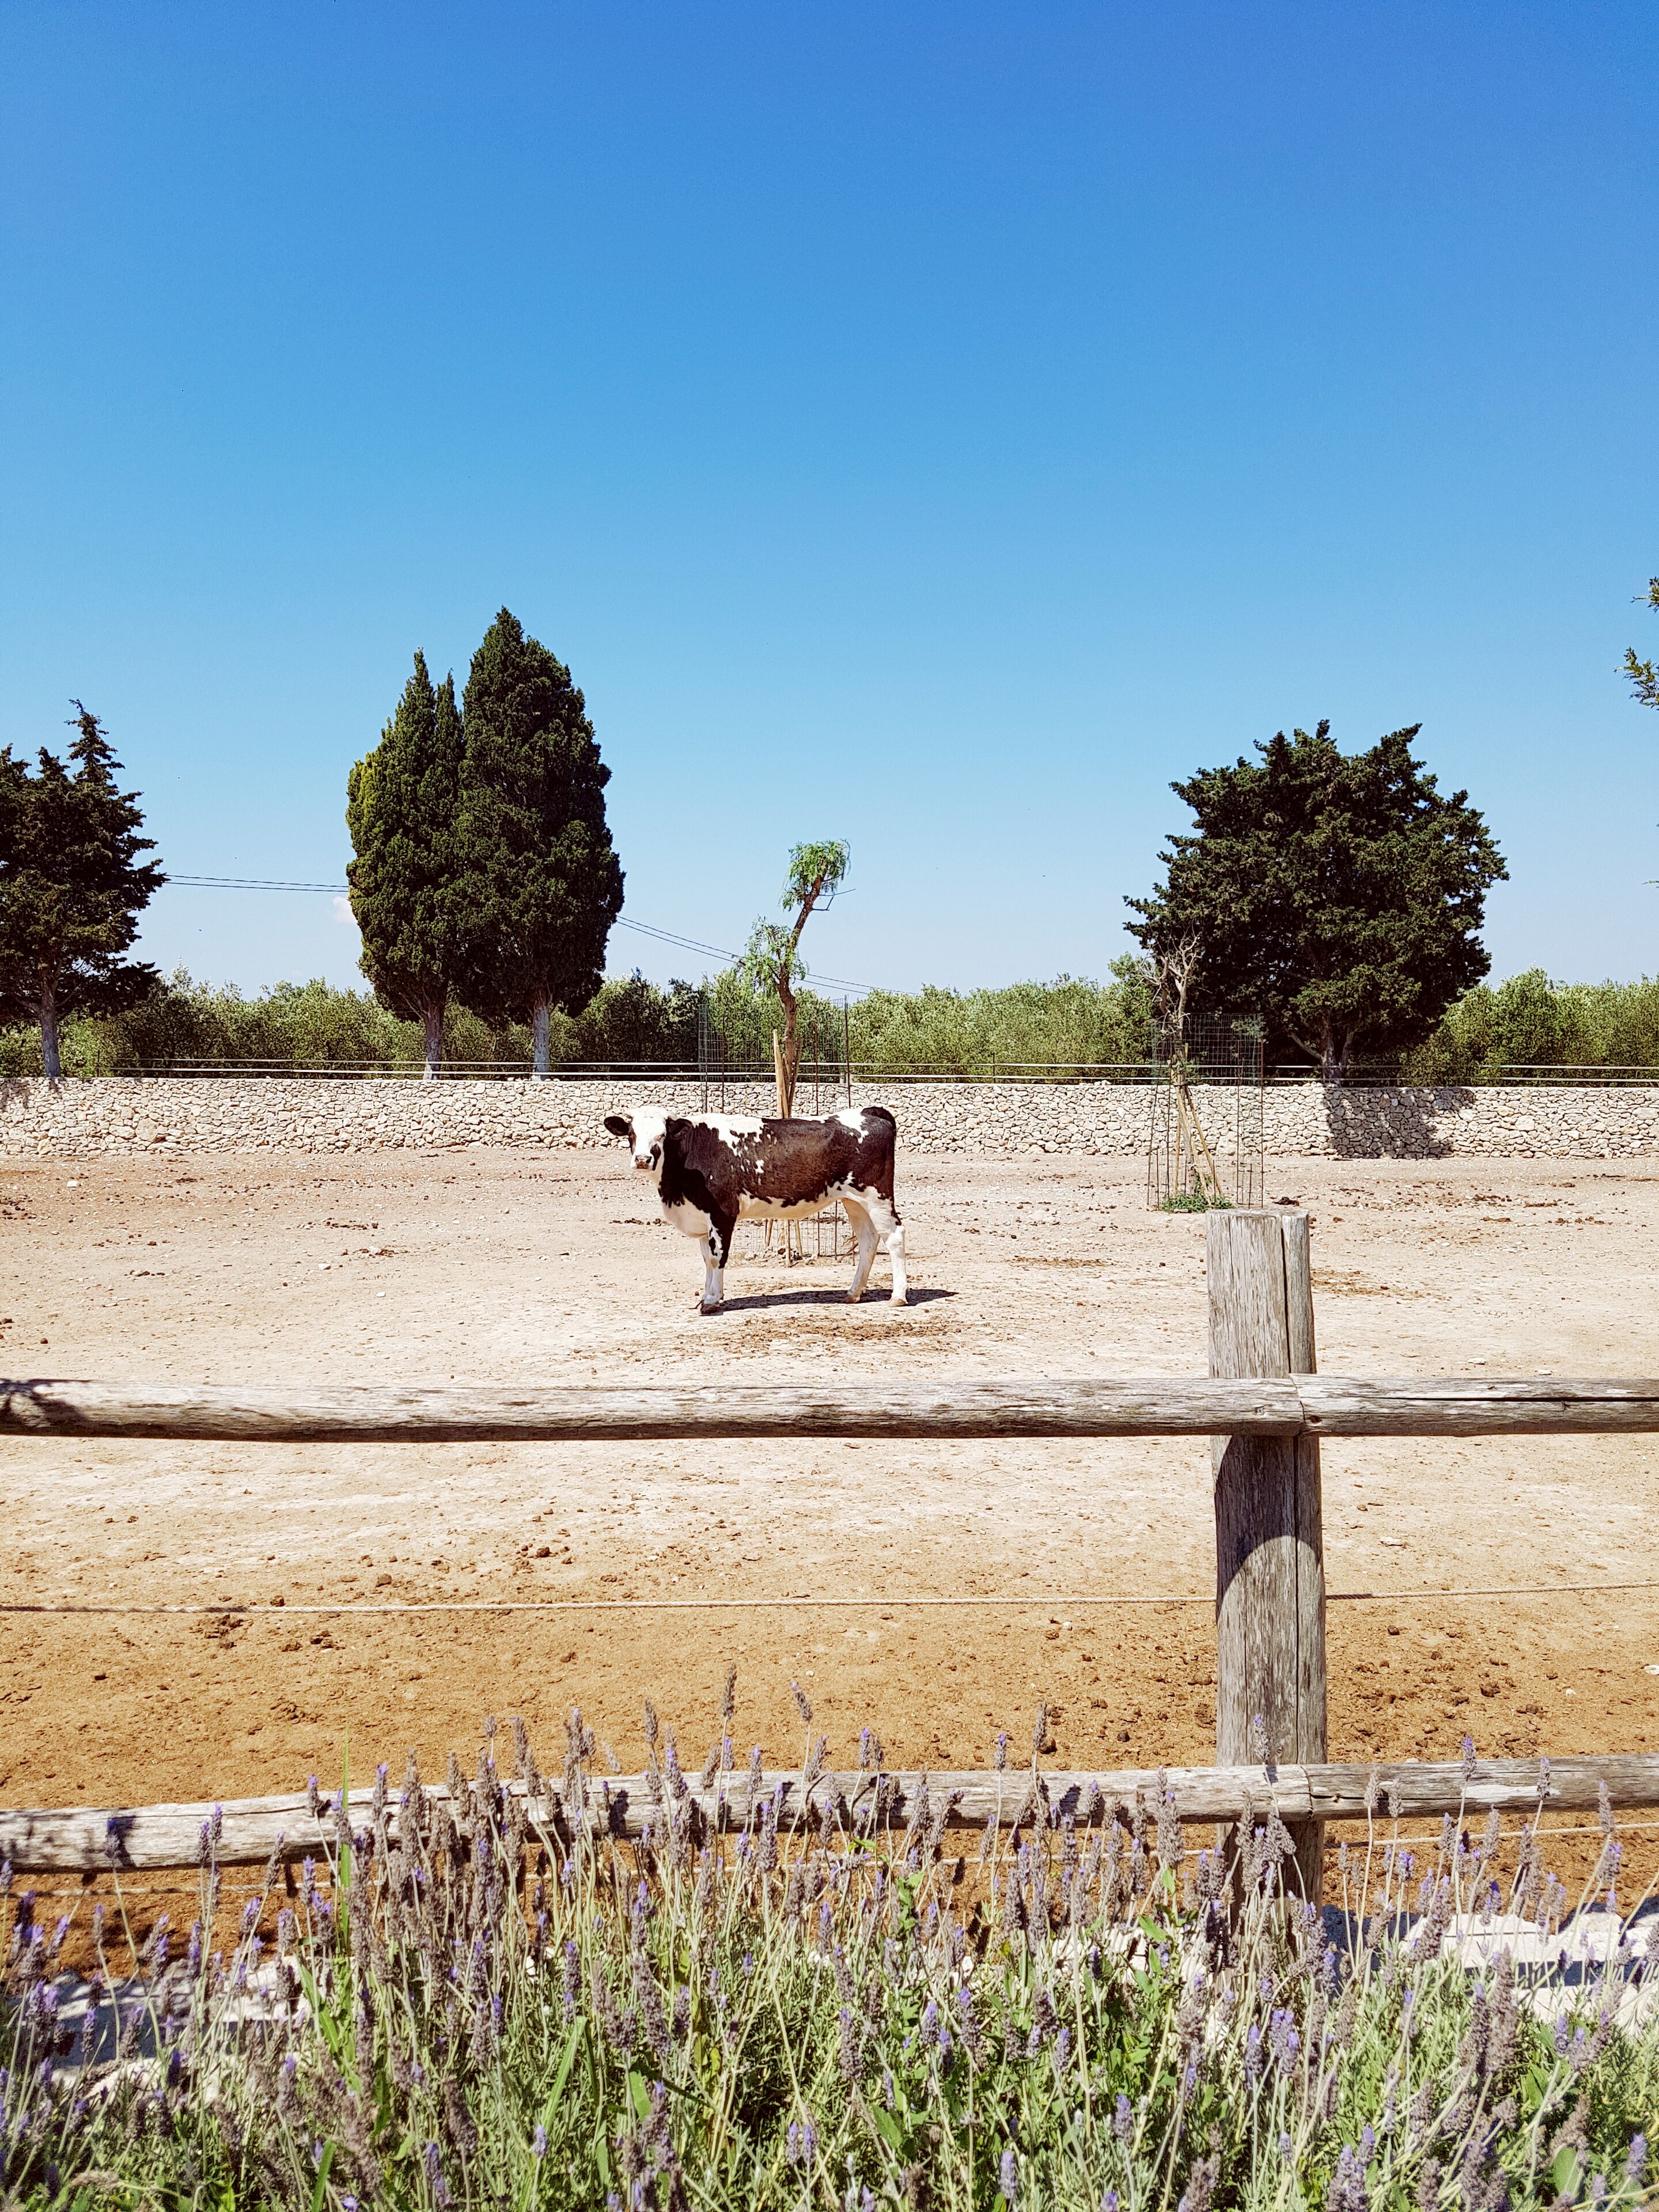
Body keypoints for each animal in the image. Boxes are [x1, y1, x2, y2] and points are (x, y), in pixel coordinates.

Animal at [603, 1105, 908, 1314]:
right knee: (868, 1240)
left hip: (877, 1196)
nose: (643, 1159)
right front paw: (709, 1295)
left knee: (894, 1237)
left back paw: (898, 1296)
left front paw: (711, 1301)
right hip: (854, 1200)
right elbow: (706, 1259)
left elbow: (717, 1258)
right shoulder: (702, 1218)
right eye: (631, 1134)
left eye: (662, 1135)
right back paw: (853, 1293)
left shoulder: (722, 1213)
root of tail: (869, 1112)